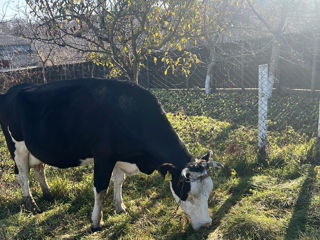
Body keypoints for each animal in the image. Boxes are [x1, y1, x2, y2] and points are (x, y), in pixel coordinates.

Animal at [0, 79, 224, 231]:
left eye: (209, 191)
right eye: (187, 192)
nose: (206, 225)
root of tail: (12, 90)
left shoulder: (119, 157)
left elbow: (119, 181)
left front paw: (120, 207)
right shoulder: (103, 157)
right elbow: (101, 189)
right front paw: (96, 222)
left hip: (34, 149)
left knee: (39, 168)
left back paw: (47, 194)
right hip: (17, 147)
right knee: (23, 175)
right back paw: (32, 204)